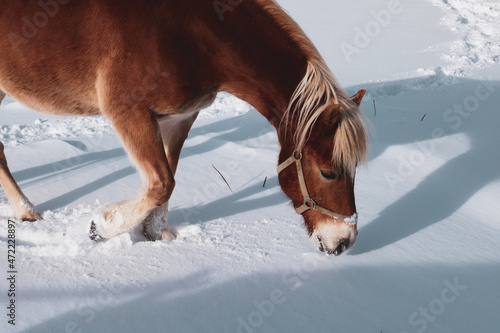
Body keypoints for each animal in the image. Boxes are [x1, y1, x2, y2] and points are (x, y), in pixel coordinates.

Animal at [0, 0, 368, 255]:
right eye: (328, 172)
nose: (344, 241)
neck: (190, 33)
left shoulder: (179, 118)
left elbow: (169, 174)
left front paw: (156, 232)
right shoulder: (129, 113)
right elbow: (161, 182)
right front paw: (100, 227)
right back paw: (26, 210)